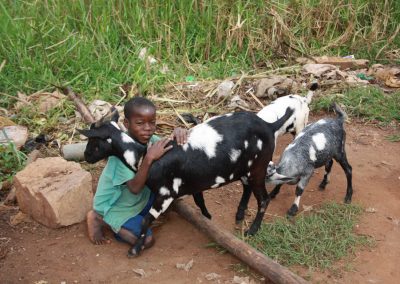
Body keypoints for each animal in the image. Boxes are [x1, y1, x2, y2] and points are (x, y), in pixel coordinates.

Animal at [79, 107, 294, 258]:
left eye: (93, 141)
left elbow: (146, 220)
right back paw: (240, 214)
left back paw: (252, 230)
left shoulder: (165, 193)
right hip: (246, 168)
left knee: (264, 199)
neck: (144, 156)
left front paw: (135, 250)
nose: (86, 156)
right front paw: (208, 219)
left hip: (259, 166)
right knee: (247, 187)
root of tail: (269, 125)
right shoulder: (194, 183)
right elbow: (200, 202)